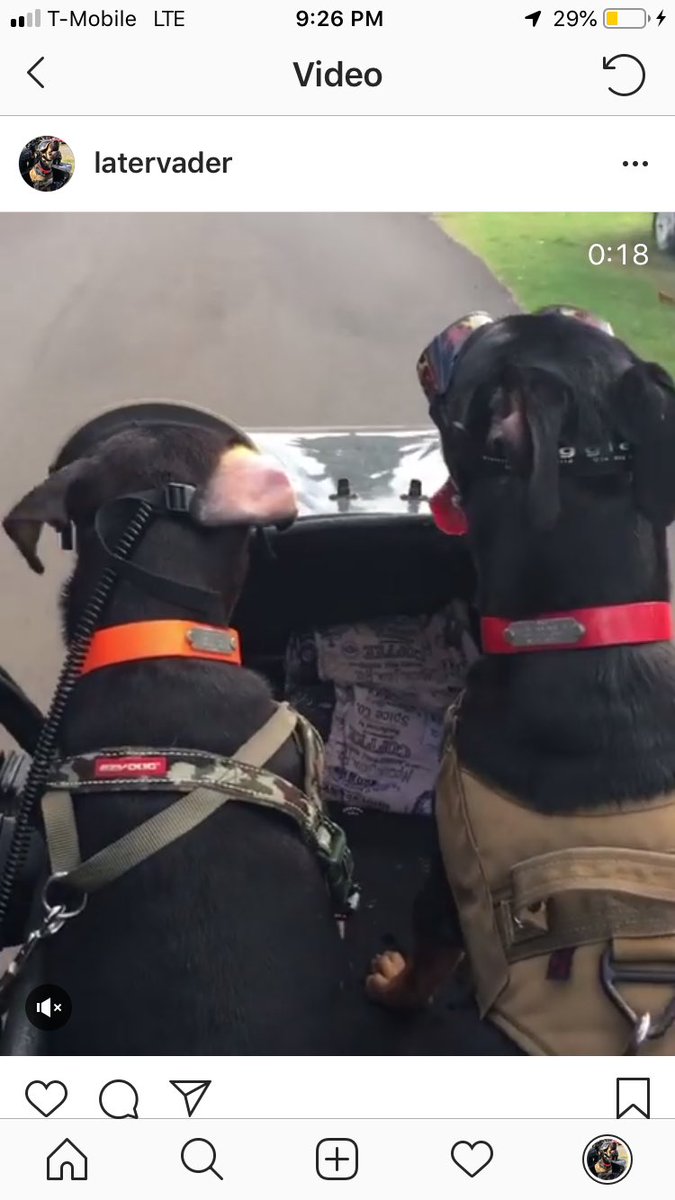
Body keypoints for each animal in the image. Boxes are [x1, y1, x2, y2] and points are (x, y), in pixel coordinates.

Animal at [367, 308, 675, 1055]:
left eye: (482, 338)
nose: (463, 320)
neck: (583, 630)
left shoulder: (448, 883)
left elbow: (423, 965)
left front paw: (391, 986)